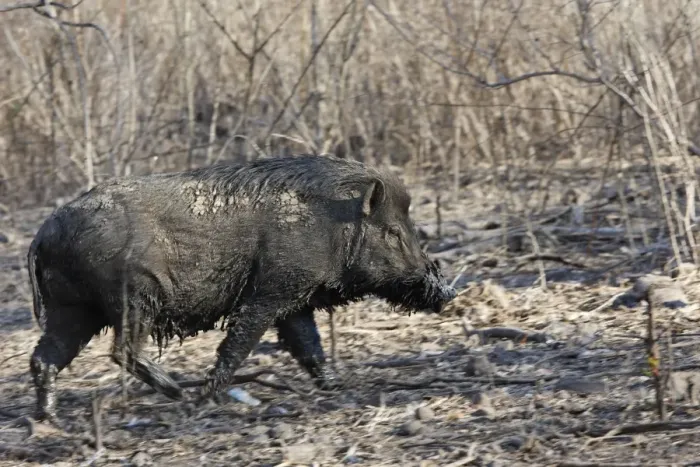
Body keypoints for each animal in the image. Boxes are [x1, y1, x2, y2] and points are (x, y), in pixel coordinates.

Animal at [27, 154, 456, 423]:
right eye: (394, 232)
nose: (447, 293)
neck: (333, 226)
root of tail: (43, 233)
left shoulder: (294, 301)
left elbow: (309, 345)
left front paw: (336, 386)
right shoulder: (269, 293)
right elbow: (240, 343)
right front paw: (209, 398)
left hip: (73, 308)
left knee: (44, 357)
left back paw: (49, 419)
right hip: (133, 296)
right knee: (122, 349)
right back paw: (179, 392)